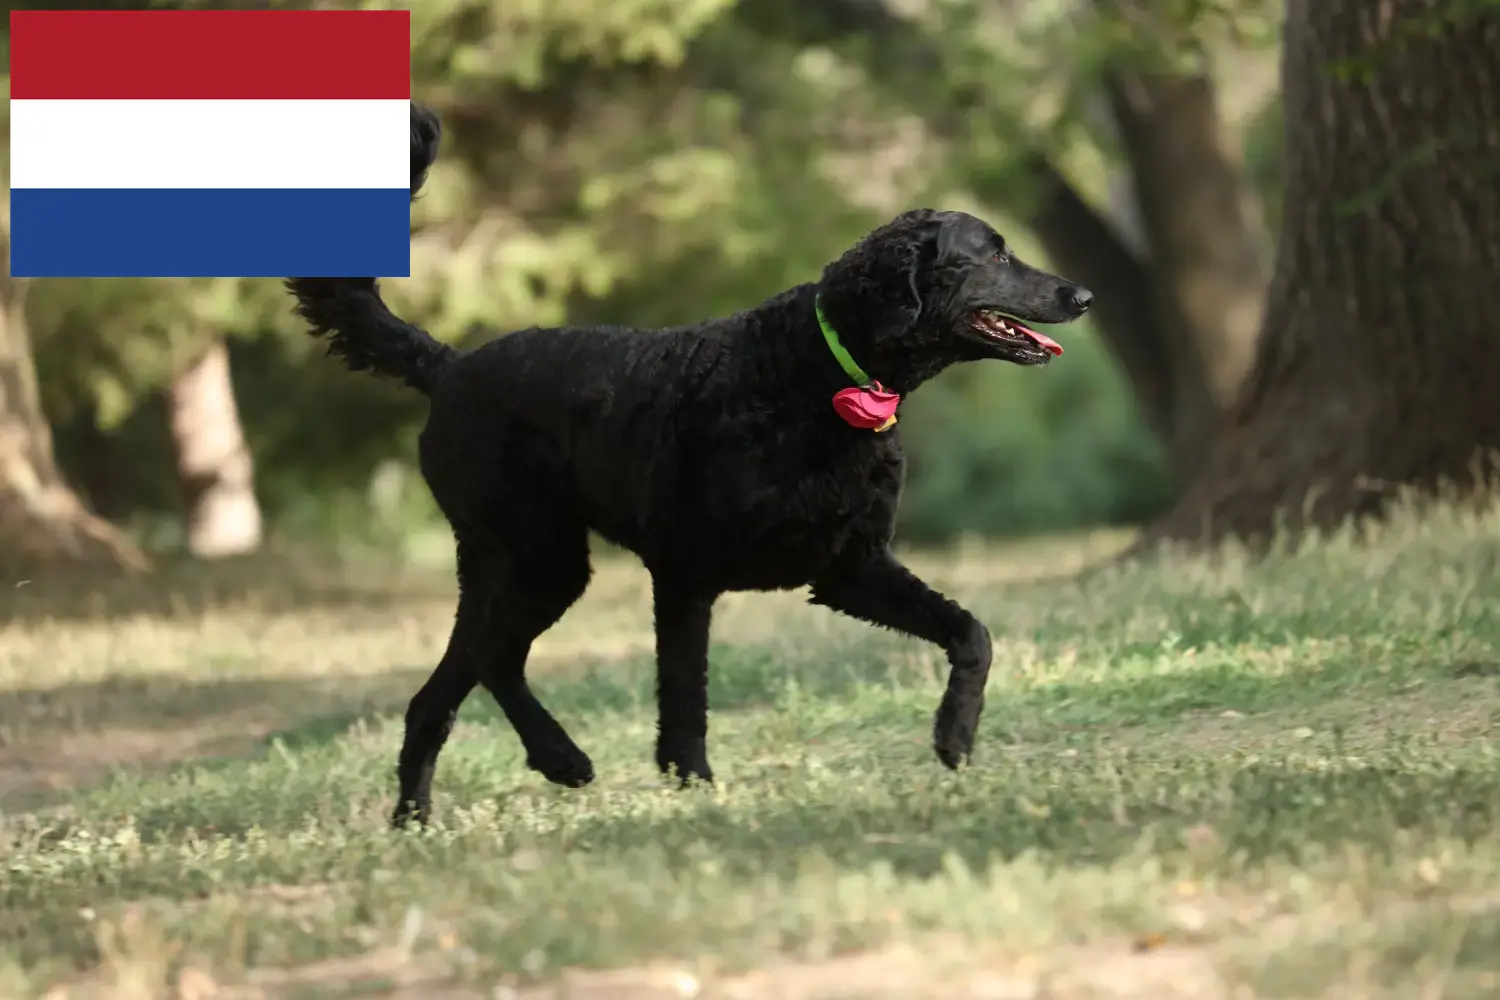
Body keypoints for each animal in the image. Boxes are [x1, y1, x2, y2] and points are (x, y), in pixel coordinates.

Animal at [286, 103, 1098, 827]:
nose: (1084, 292)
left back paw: (427, 812)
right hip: (537, 557)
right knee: (488, 664)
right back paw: (554, 760)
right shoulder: (684, 574)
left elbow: (972, 634)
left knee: (456, 683)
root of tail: (450, 366)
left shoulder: (850, 566)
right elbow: (684, 696)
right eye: (993, 253)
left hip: (514, 565)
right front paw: (694, 784)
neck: (815, 374)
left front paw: (954, 736)